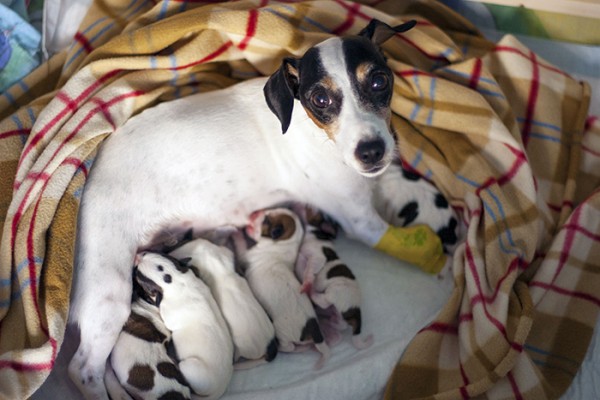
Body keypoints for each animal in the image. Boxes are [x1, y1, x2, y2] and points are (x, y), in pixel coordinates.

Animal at [135, 253, 233, 400]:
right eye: (162, 254)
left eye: (140, 275)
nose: (138, 256)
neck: (177, 279)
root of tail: (222, 387)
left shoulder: (168, 311)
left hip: (190, 368)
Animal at [232, 208, 330, 370]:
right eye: (268, 211)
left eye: (265, 220)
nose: (254, 212)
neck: (284, 243)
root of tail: (314, 330)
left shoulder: (246, 254)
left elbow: (240, 246)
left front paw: (236, 233)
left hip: (280, 329)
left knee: (289, 346)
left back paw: (286, 348)